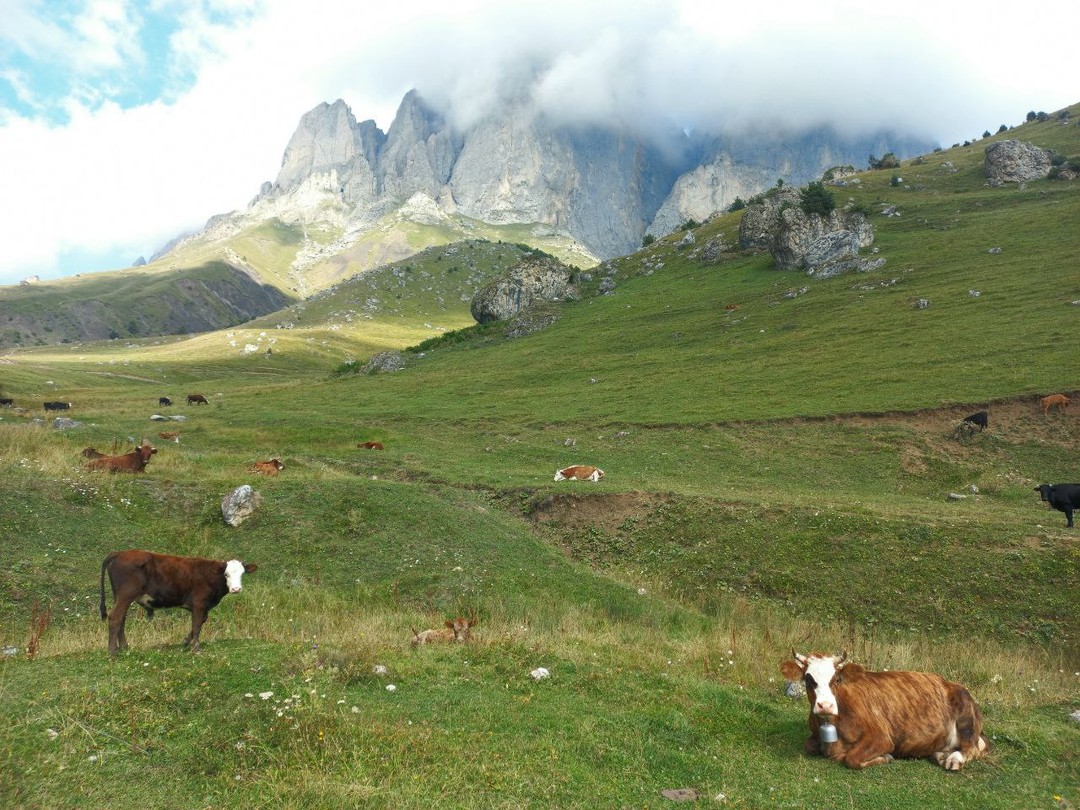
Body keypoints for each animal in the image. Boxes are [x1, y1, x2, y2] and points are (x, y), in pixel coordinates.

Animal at [99, 549, 257, 654]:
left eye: (242, 574)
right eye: (226, 574)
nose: (236, 589)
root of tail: (120, 553)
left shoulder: (203, 607)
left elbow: (200, 622)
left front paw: (186, 641)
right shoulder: (199, 604)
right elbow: (197, 624)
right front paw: (196, 648)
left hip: (120, 596)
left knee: (122, 619)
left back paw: (124, 648)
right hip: (126, 595)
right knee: (115, 617)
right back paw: (113, 652)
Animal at [780, 651, 988, 771]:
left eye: (837, 679)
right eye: (808, 679)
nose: (825, 705)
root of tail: (949, 683)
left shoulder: (882, 737)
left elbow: (852, 758)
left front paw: (885, 757)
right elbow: (810, 746)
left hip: (966, 713)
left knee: (971, 747)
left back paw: (954, 759)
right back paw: (941, 755)